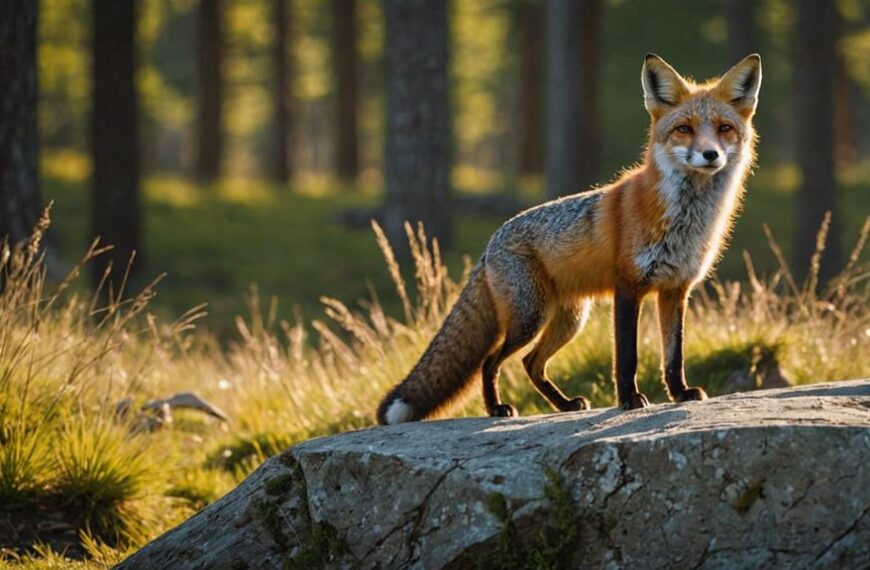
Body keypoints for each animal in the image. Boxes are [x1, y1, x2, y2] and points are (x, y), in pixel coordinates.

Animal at [377, 53, 762, 425]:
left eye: (724, 129)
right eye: (685, 129)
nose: (710, 155)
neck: (685, 220)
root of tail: (490, 245)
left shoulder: (675, 290)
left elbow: (674, 355)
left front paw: (680, 394)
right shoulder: (629, 286)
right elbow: (627, 356)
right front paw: (629, 400)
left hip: (569, 320)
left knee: (531, 363)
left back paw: (563, 405)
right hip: (530, 319)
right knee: (491, 361)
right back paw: (497, 409)